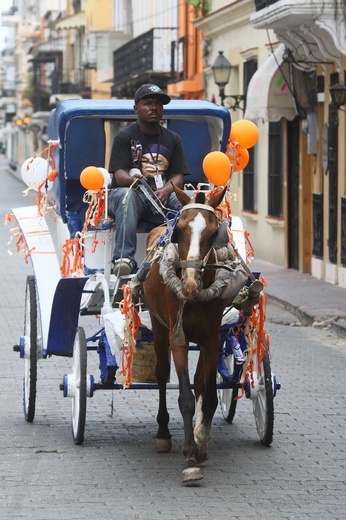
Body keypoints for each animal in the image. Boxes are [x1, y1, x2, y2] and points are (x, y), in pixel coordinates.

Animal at [142, 186, 247, 484]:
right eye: (179, 230)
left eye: (214, 233)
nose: (189, 284)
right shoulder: (177, 337)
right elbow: (186, 398)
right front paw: (189, 458)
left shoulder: (212, 339)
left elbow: (208, 395)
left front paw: (201, 443)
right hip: (159, 328)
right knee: (162, 375)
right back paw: (163, 434)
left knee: (200, 382)